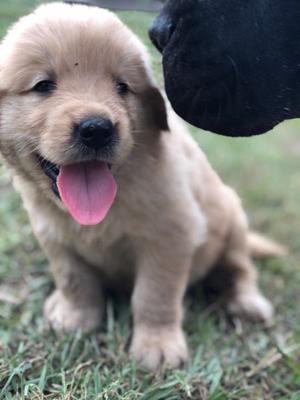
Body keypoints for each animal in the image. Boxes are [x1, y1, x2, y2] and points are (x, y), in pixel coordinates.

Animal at [0, 2, 284, 372]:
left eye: (122, 87)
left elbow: (154, 294)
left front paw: (157, 345)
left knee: (240, 267)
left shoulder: (172, 235)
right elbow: (73, 278)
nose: (97, 129)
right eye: (43, 85)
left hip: (233, 220)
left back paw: (246, 302)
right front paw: (74, 317)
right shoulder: (53, 234)